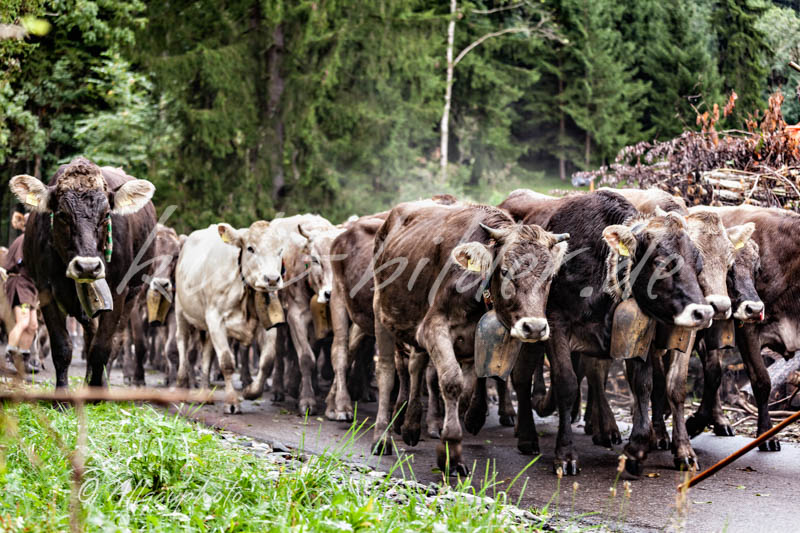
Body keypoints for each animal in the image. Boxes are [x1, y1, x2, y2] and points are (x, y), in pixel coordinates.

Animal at [9, 157, 156, 386]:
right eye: (62, 214)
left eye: (106, 215)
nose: (87, 266)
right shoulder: (46, 290)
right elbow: (62, 348)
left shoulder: (118, 293)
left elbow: (102, 348)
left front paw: (97, 389)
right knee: (89, 336)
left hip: (134, 293)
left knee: (114, 342)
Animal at [370, 201, 568, 474]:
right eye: (504, 271)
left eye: (550, 276)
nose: (535, 328)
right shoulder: (434, 326)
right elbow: (451, 381)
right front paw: (450, 454)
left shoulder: (470, 342)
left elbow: (465, 391)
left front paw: (455, 437)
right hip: (381, 312)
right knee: (387, 373)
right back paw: (382, 437)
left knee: (416, 366)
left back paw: (410, 426)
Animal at [500, 190, 712, 474]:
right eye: (661, 263)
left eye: (698, 264)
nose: (703, 313)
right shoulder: (555, 324)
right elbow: (566, 384)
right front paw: (565, 455)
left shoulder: (638, 331)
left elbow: (645, 384)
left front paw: (642, 449)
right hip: (529, 333)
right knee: (521, 378)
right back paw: (526, 436)